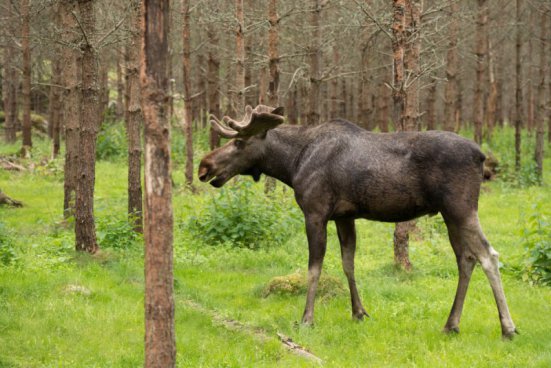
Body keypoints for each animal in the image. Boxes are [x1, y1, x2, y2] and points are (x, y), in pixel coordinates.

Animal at [199, 104, 516, 340]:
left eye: (239, 142)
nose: (204, 166)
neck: (292, 163)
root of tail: (482, 156)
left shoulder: (315, 212)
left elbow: (314, 268)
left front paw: (307, 318)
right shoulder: (344, 216)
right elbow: (348, 262)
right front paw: (359, 312)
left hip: (461, 208)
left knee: (489, 255)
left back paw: (508, 327)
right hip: (450, 215)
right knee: (466, 259)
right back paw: (451, 324)